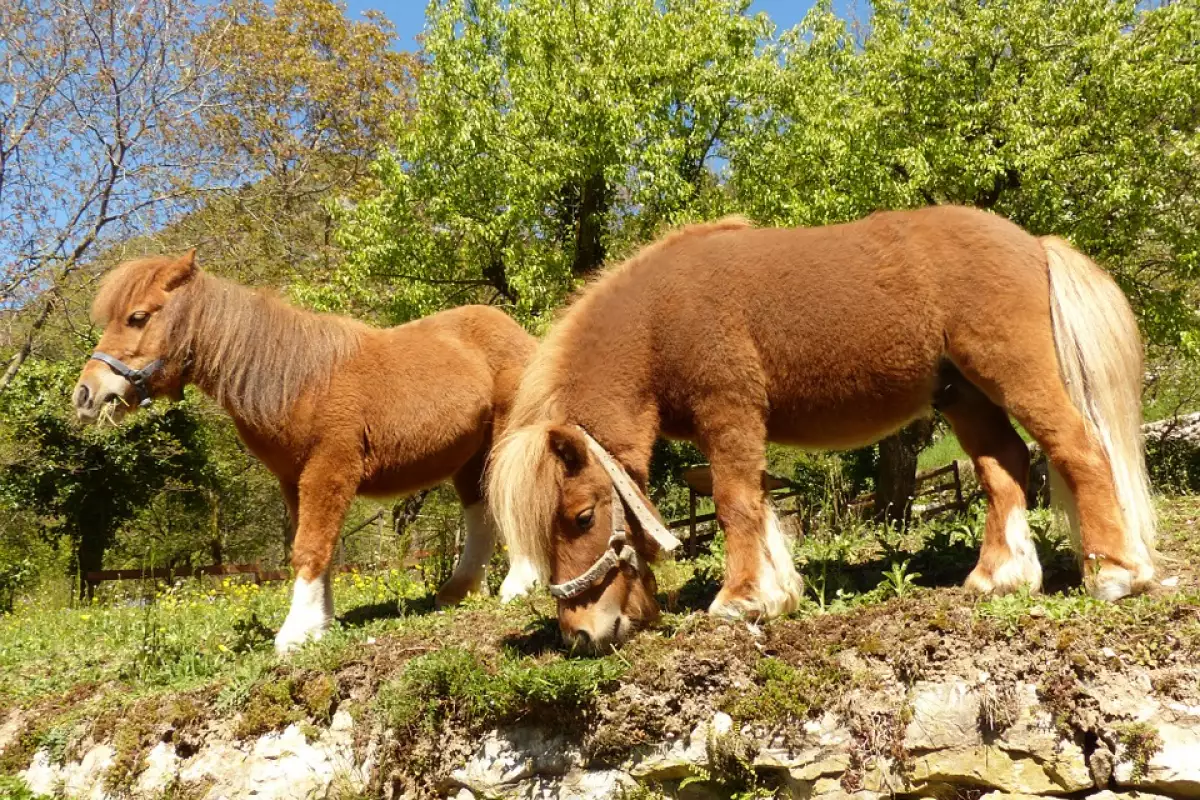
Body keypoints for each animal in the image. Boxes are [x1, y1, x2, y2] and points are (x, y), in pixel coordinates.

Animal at [73, 250, 535, 652]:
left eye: (138, 317)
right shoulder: (294, 481)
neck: (297, 380)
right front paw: (320, 624)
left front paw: (295, 633)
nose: (85, 393)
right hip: (470, 457)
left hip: (506, 438)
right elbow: (316, 547)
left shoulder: (329, 470)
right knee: (480, 512)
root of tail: (516, 334)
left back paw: (518, 585)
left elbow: (310, 547)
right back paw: (461, 591)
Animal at [492, 205, 1156, 652]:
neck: (661, 320)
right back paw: (999, 577)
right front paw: (777, 592)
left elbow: (734, 503)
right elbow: (758, 503)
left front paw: (739, 600)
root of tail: (1032, 243)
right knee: (1005, 468)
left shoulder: (728, 410)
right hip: (964, 394)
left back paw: (1116, 573)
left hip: (1014, 373)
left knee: (1078, 449)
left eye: (581, 517)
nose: (580, 635)